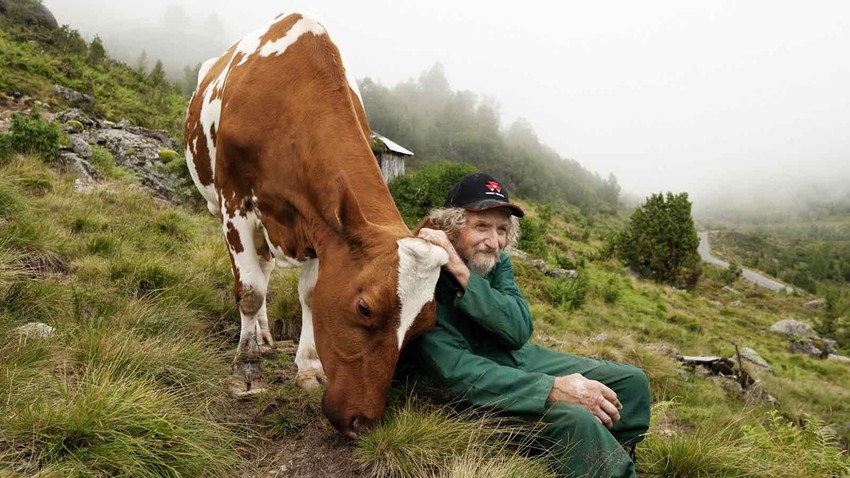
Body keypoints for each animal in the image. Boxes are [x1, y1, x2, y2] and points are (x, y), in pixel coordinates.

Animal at [182, 11, 448, 436]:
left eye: (424, 325)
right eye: (364, 308)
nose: (363, 421)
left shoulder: (320, 228)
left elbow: (309, 294)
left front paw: (308, 368)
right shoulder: (235, 204)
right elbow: (250, 291)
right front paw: (247, 371)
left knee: (266, 267)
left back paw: (266, 335)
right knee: (256, 277)